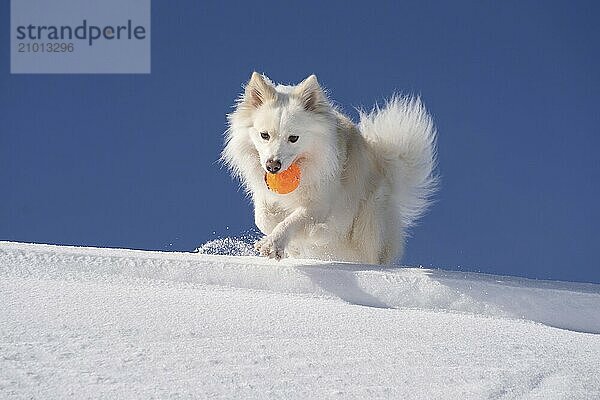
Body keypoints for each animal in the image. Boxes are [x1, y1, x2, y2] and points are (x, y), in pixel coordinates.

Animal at [223, 72, 438, 266]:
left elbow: (294, 219)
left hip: (368, 221)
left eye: (293, 138)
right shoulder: (265, 196)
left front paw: (274, 244)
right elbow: (264, 218)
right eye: (264, 135)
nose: (272, 166)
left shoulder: (320, 204)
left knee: (367, 255)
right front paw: (289, 245)